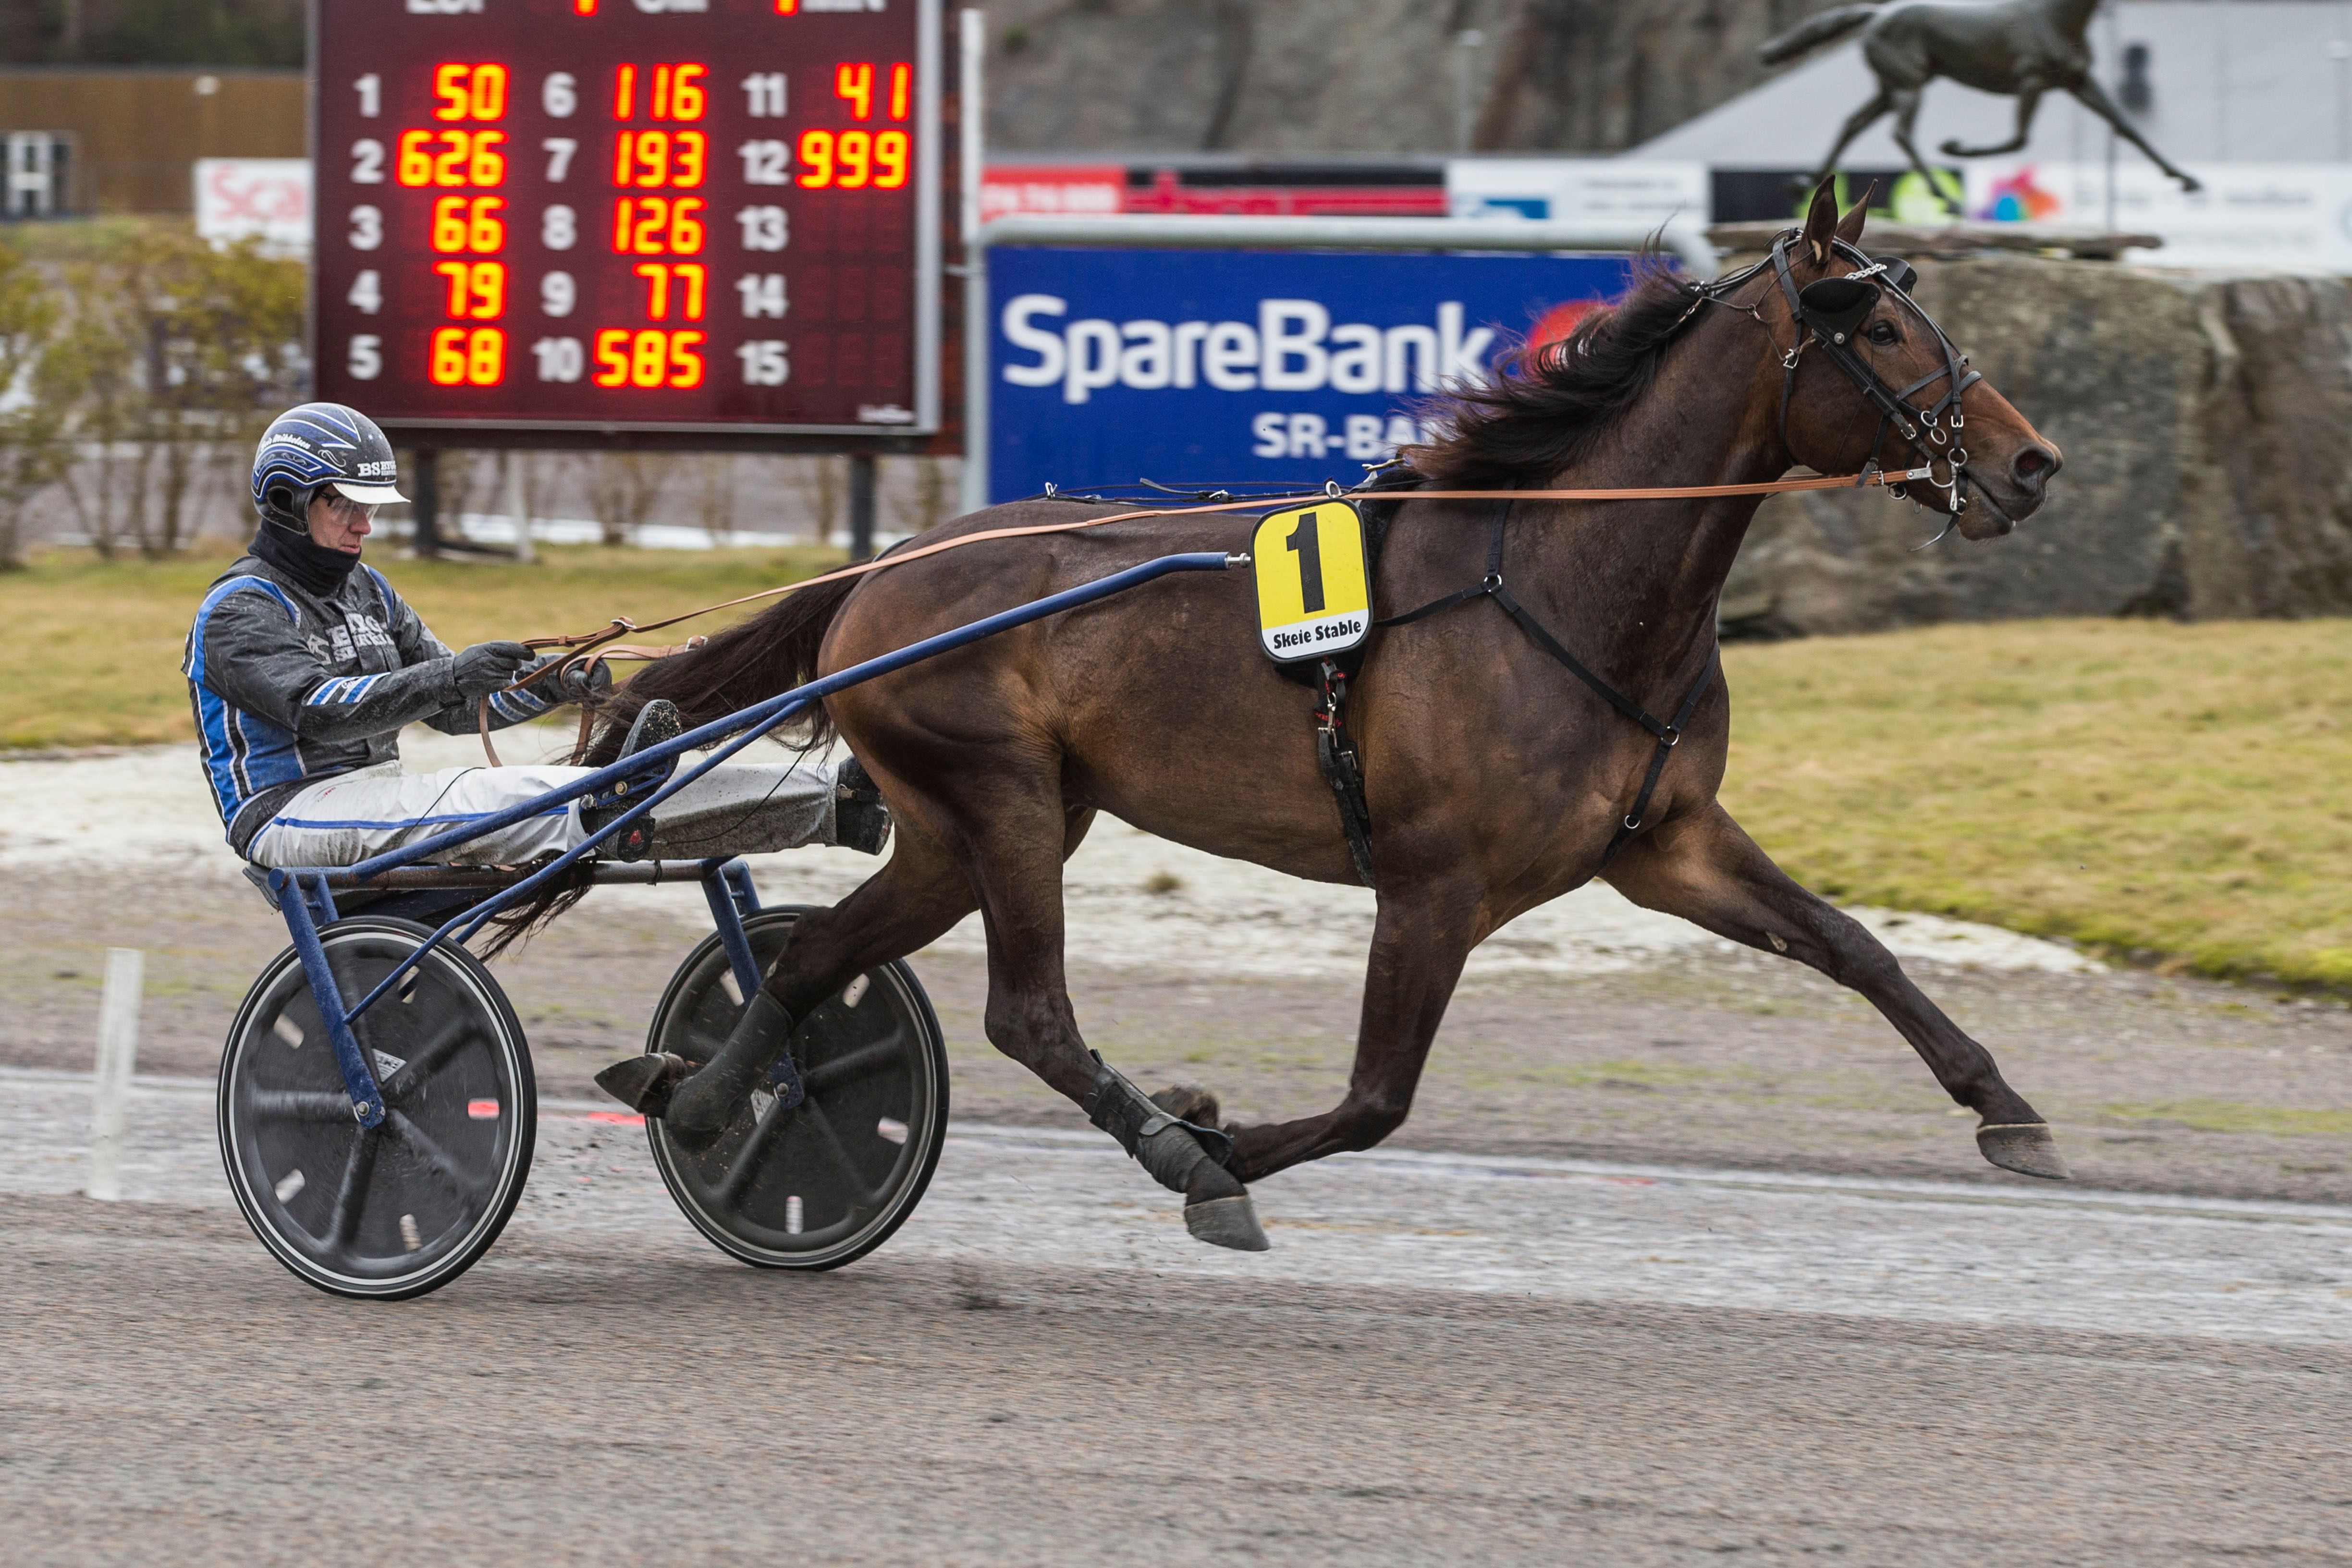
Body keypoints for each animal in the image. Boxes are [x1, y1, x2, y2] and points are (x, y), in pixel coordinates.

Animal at [586, 186, 2068, 1251]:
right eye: (1876, 329)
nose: (2031, 461)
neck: (1561, 586)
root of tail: (882, 569)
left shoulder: (1665, 842)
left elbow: (1850, 945)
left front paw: (2008, 1109)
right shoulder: (1432, 882)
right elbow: (1376, 1097)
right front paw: (1213, 1145)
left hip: (978, 822)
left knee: (815, 955)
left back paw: (708, 1095)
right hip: (996, 797)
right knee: (1028, 1013)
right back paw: (1156, 1141)